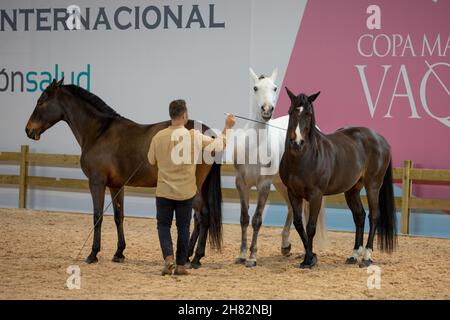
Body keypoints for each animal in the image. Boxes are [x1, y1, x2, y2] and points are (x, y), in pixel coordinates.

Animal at [25, 80, 221, 268]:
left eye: (41, 101)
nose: (28, 130)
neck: (99, 132)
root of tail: (207, 134)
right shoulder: (116, 185)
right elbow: (119, 216)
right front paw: (119, 252)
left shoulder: (97, 182)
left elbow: (97, 216)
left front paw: (93, 254)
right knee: (197, 219)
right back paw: (188, 256)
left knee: (203, 216)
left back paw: (196, 258)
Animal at [229, 66, 326, 266]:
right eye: (255, 88)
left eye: (274, 88)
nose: (267, 109)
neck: (255, 147)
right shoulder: (241, 183)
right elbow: (244, 218)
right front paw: (241, 255)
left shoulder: (264, 185)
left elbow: (257, 220)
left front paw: (252, 257)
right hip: (282, 184)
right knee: (291, 209)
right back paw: (285, 246)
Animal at [282, 87, 398, 268]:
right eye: (290, 111)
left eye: (308, 113)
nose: (297, 142)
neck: (302, 158)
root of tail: (379, 138)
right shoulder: (293, 193)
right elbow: (299, 225)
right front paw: (311, 256)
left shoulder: (316, 195)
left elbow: (311, 227)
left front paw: (309, 260)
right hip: (352, 189)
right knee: (359, 216)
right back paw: (354, 255)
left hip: (373, 185)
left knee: (374, 216)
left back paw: (367, 256)